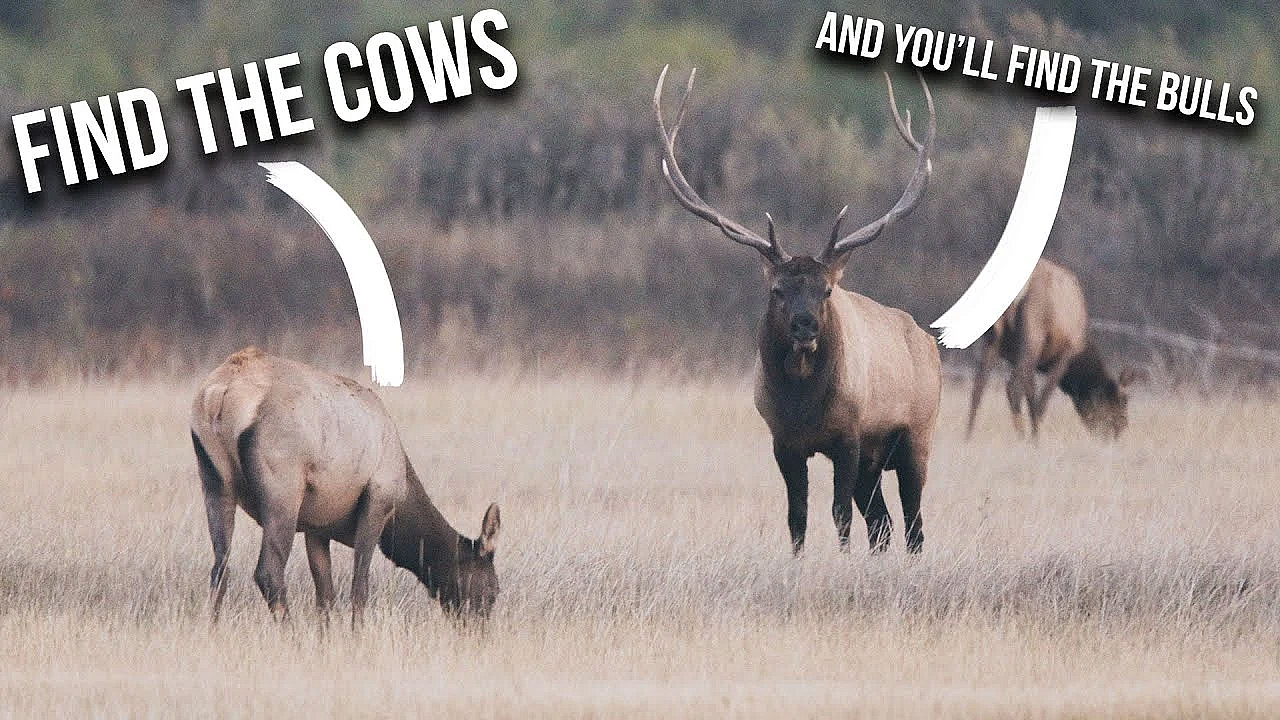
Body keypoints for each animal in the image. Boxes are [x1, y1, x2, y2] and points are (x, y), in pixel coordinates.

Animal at [190, 347, 502, 627]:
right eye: (493, 590)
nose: (478, 631)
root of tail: (218, 395)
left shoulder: (316, 528)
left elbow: (326, 598)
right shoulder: (377, 501)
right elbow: (359, 588)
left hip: (215, 483)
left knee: (220, 568)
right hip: (283, 492)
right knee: (268, 571)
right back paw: (292, 636)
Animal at [654, 66, 941, 554]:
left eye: (826, 290)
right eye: (777, 290)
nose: (804, 326)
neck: (804, 405)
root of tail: (928, 340)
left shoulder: (849, 437)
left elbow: (840, 514)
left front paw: (841, 560)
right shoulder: (783, 441)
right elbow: (797, 516)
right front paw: (799, 559)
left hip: (916, 436)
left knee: (913, 523)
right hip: (875, 460)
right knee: (882, 525)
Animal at [967, 258, 1132, 439]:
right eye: (1122, 402)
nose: (1121, 428)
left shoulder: (1023, 359)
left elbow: (1031, 397)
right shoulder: (1065, 354)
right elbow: (1041, 403)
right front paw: (1035, 440)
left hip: (993, 340)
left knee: (977, 389)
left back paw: (967, 438)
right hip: (1033, 333)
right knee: (1013, 389)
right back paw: (1020, 438)